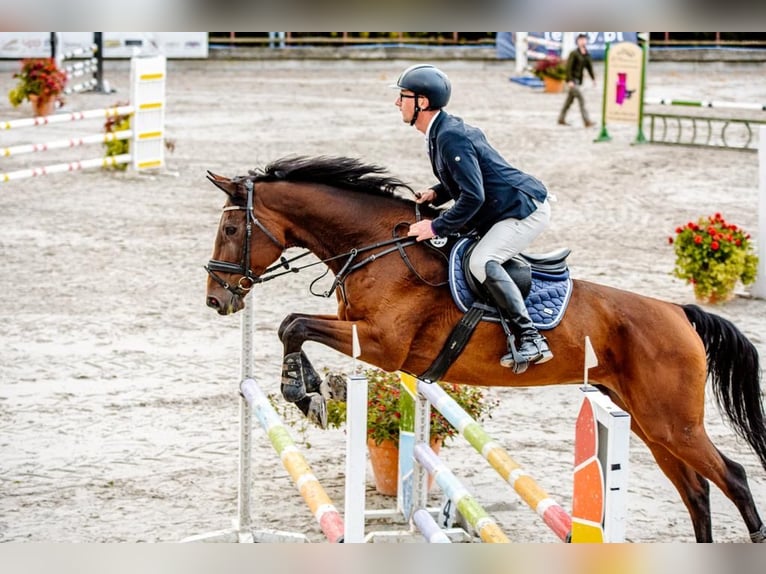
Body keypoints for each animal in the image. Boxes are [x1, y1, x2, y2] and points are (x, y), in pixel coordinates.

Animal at [204, 155, 766, 544]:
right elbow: (292, 325)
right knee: (696, 491)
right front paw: (315, 390)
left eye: (230, 228)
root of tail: (678, 312)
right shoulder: (362, 332)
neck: (379, 248)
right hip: (650, 422)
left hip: (673, 422)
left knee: (733, 477)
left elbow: (294, 324)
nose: (216, 298)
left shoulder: (382, 343)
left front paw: (308, 392)